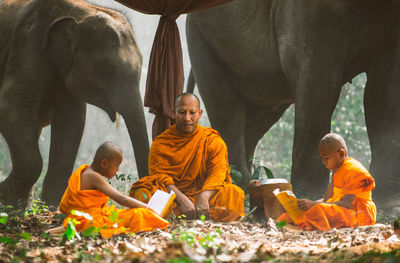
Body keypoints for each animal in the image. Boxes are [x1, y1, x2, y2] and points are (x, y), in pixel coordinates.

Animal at [0, 0, 150, 210]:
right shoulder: (27, 47)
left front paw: (51, 208)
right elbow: (9, 110)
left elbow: (71, 123)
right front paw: (5, 196)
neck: (79, 10)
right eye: (108, 69)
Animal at [188, 0, 400, 214]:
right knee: (226, 108)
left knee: (259, 115)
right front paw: (310, 199)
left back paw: (249, 188)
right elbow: (319, 84)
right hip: (201, 37)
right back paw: (236, 189)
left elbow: (386, 90)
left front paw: (389, 205)